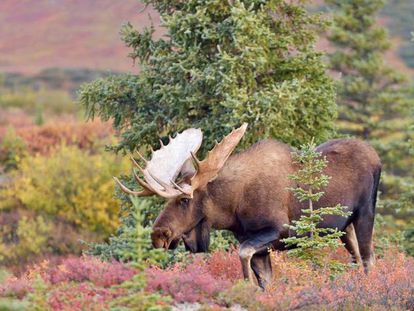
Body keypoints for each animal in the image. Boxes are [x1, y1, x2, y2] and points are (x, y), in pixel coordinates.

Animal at [114, 123, 382, 288]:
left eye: (185, 199)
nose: (158, 234)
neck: (233, 209)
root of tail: (376, 156)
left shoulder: (278, 230)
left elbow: (243, 254)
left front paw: (247, 287)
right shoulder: (256, 242)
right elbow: (265, 279)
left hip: (365, 212)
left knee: (369, 258)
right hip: (343, 227)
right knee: (357, 257)